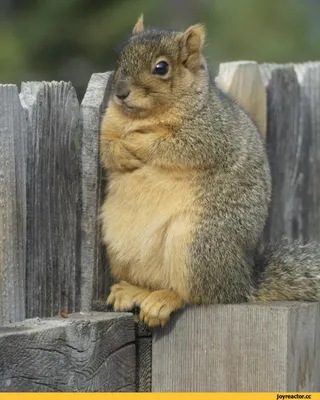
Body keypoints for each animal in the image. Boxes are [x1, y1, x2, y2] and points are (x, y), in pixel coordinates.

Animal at [99, 15, 320, 328]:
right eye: (119, 56)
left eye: (161, 68)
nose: (120, 93)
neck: (143, 117)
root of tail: (242, 284)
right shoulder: (107, 126)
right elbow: (107, 149)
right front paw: (121, 150)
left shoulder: (209, 133)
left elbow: (172, 146)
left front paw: (137, 142)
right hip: (118, 245)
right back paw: (133, 291)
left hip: (196, 245)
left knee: (197, 294)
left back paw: (164, 300)